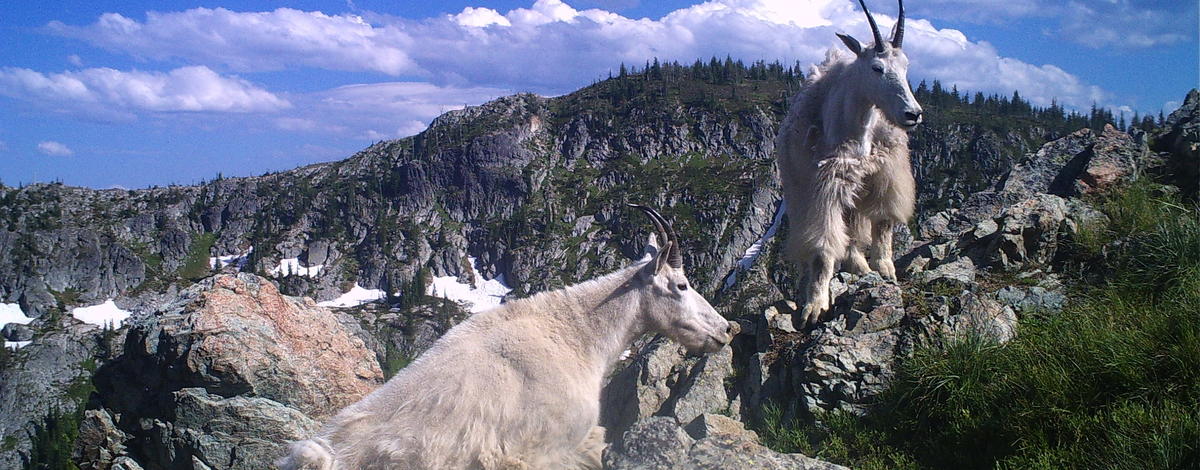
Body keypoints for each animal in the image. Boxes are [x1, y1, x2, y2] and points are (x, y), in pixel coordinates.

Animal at [777, 0, 916, 326]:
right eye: (877, 68)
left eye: (906, 66)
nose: (913, 114)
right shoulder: (825, 188)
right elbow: (823, 248)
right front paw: (815, 305)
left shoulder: (885, 176)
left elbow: (884, 223)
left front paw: (885, 269)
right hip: (803, 193)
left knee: (854, 228)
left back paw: (862, 267)